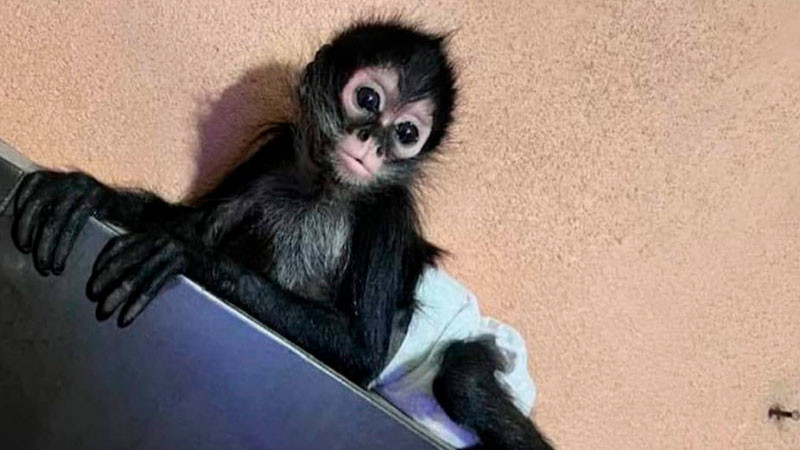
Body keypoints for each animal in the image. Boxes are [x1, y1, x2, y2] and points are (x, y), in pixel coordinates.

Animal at [10, 20, 554, 450]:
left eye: (405, 134)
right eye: (368, 99)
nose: (372, 142)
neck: (326, 186)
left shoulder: (389, 215)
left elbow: (361, 354)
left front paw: (188, 255)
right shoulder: (275, 153)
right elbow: (193, 222)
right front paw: (90, 194)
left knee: (461, 382)